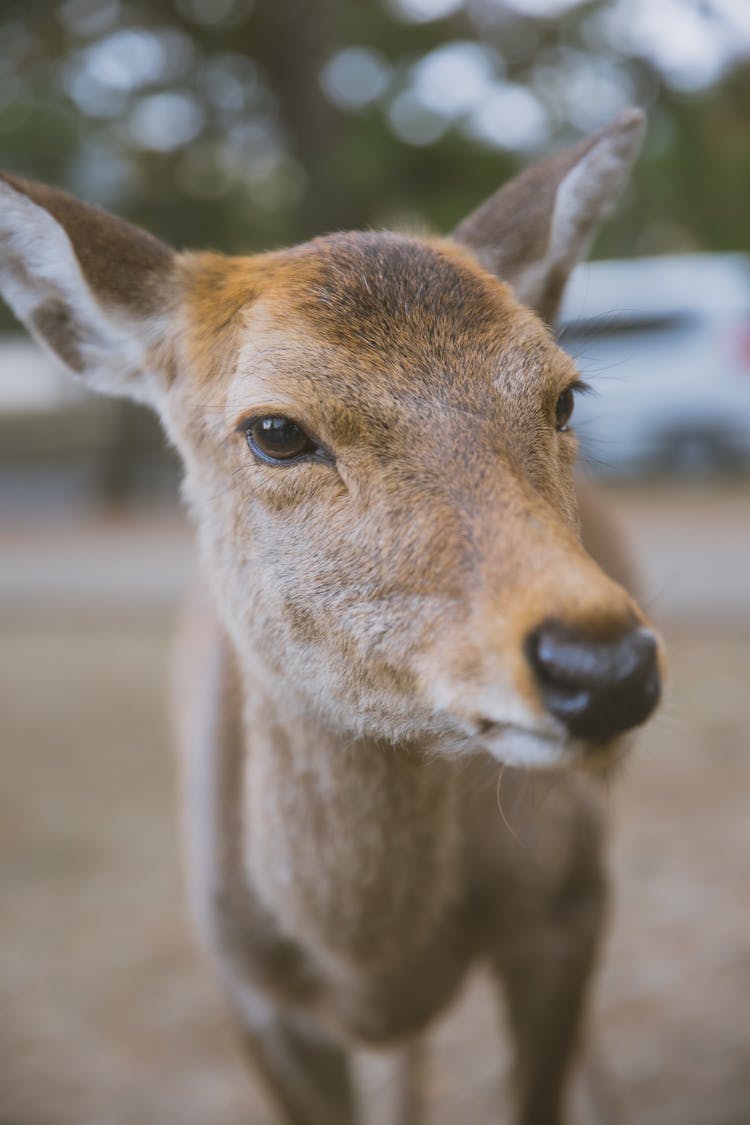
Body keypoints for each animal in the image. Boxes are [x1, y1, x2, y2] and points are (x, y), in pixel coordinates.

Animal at [0, 107, 661, 1125]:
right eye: (275, 430)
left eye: (564, 394)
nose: (605, 664)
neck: (366, 956)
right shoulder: (245, 990)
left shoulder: (571, 903)